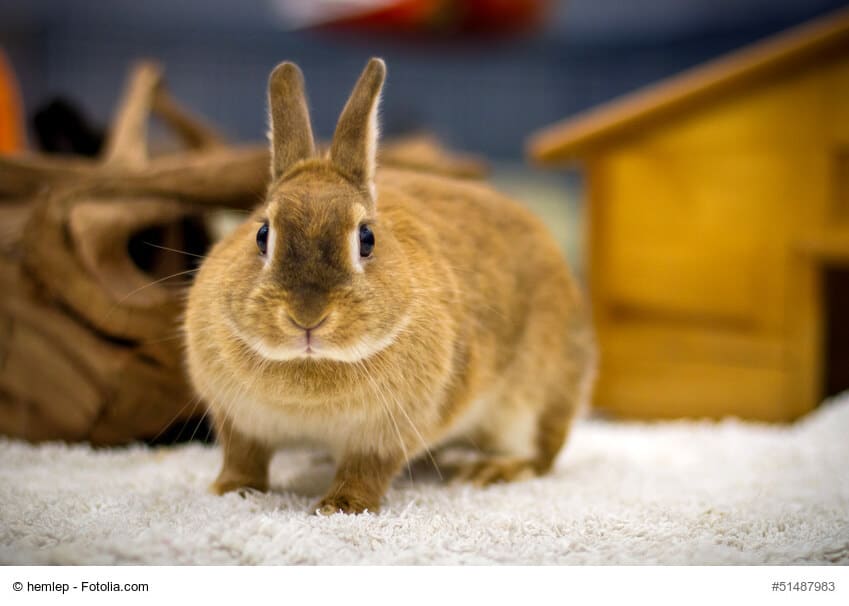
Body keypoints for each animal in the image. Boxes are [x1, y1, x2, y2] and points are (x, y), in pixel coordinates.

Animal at [183, 58, 596, 515]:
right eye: (261, 234)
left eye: (367, 238)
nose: (307, 316)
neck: (312, 364)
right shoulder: (237, 420)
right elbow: (243, 457)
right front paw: (230, 490)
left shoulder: (387, 433)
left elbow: (366, 469)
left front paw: (340, 506)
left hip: (532, 399)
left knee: (541, 452)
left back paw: (490, 470)